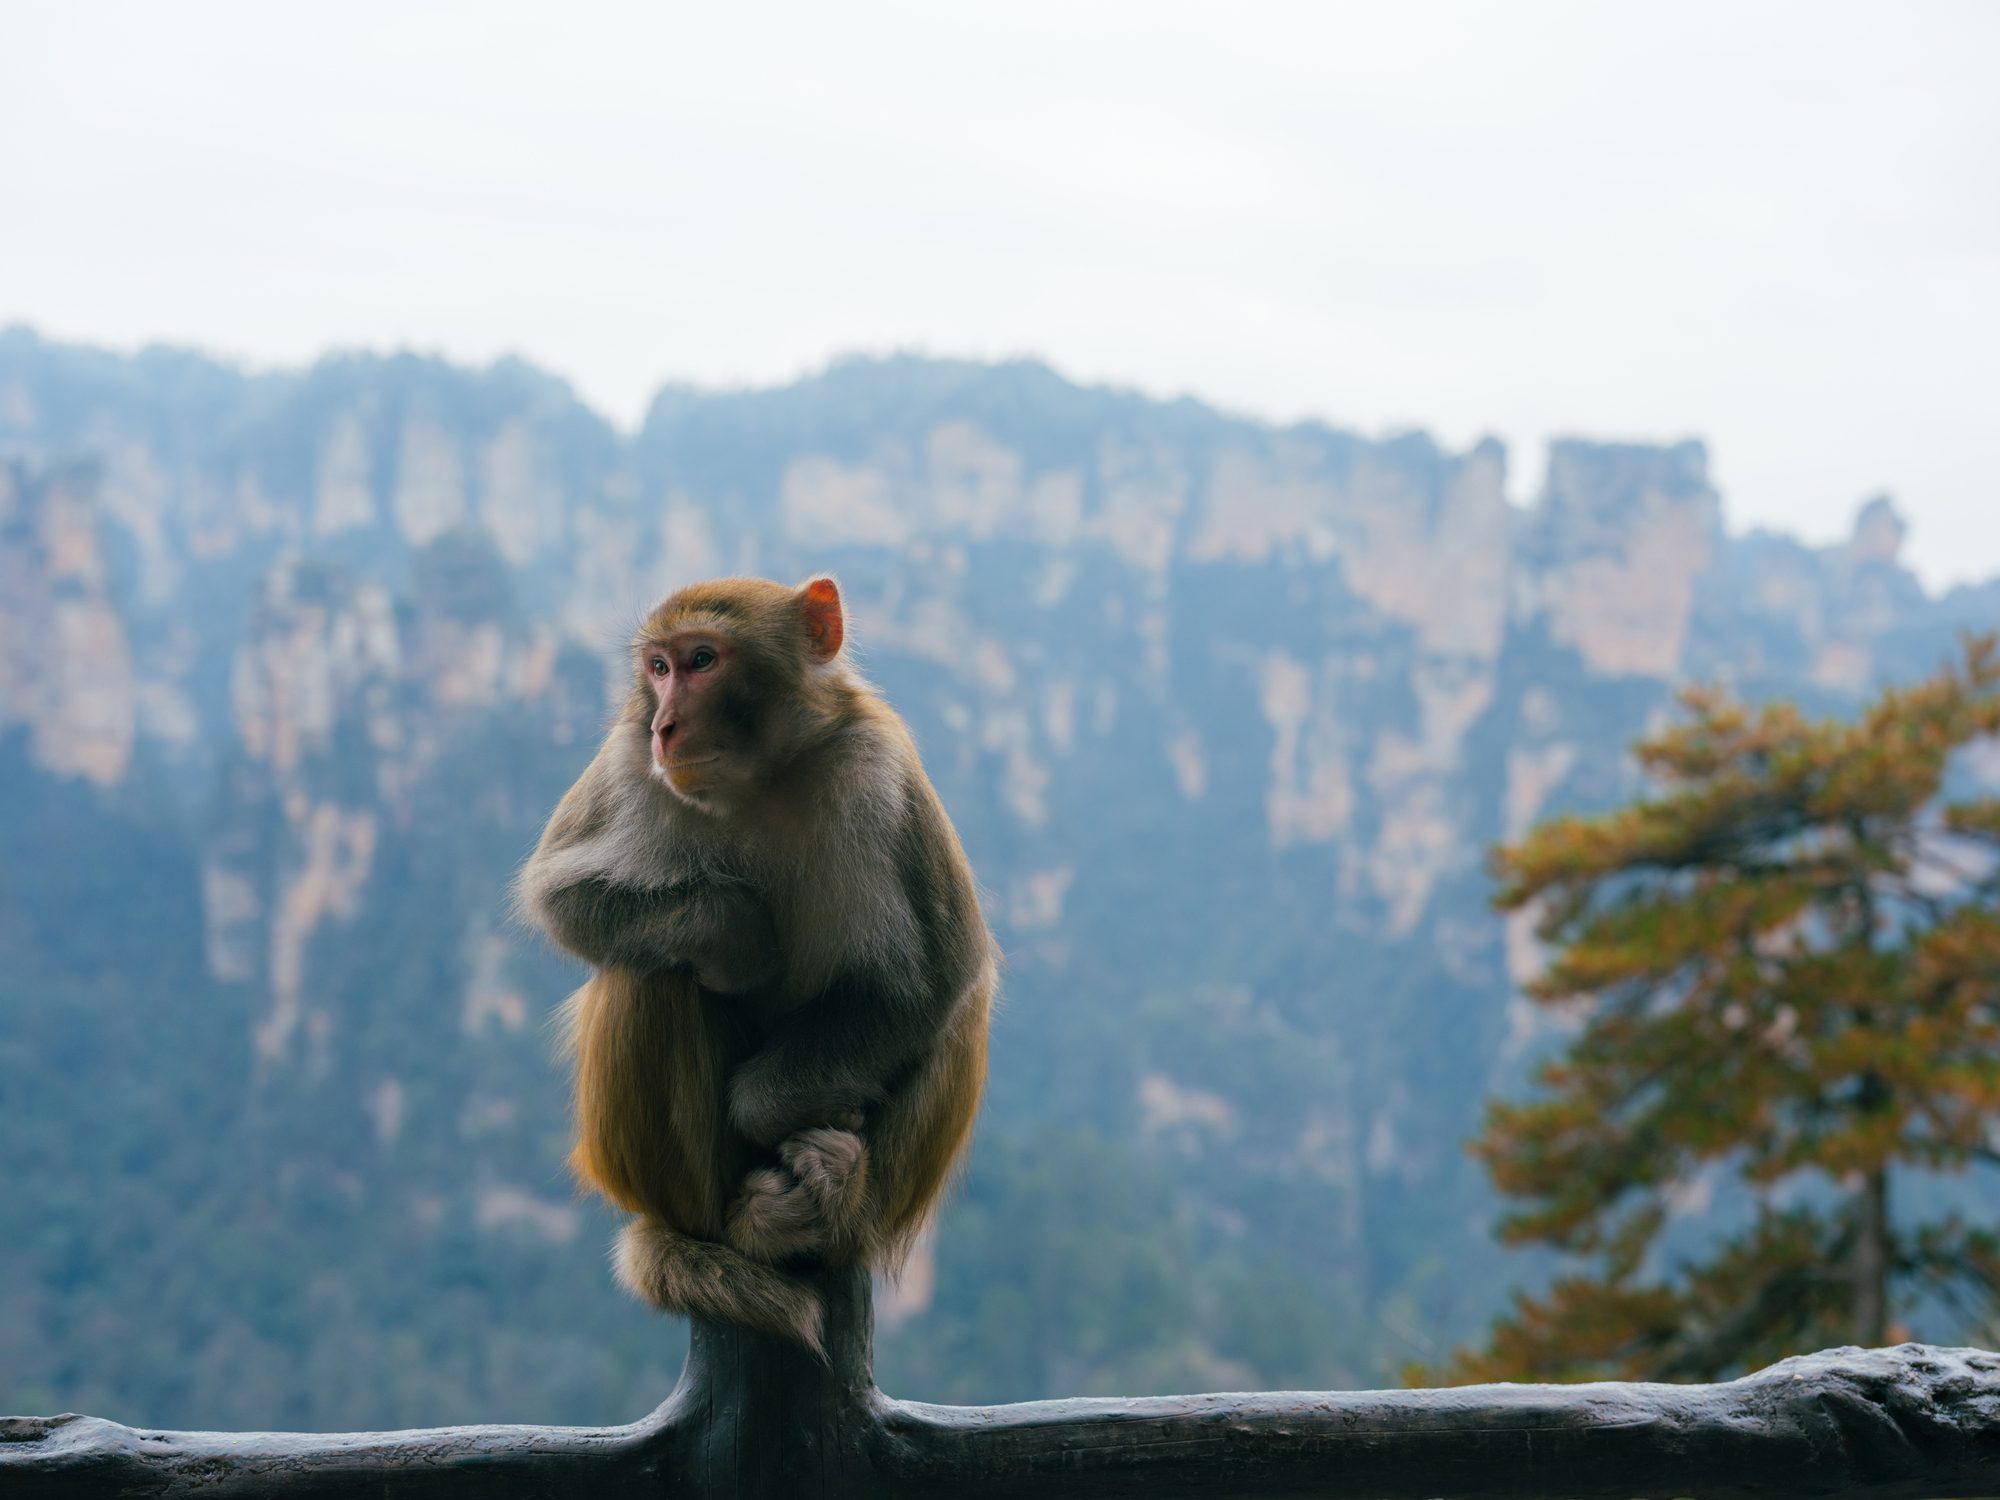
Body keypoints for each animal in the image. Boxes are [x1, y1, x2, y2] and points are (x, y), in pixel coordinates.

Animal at [515, 575, 996, 1353]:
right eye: (658, 668)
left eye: (702, 660)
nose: (666, 725)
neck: (760, 780)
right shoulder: (629, 759)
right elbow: (560, 894)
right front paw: (735, 932)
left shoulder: (879, 763)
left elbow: (936, 978)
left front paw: (768, 1106)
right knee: (650, 973)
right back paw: (737, 1226)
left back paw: (838, 1199)